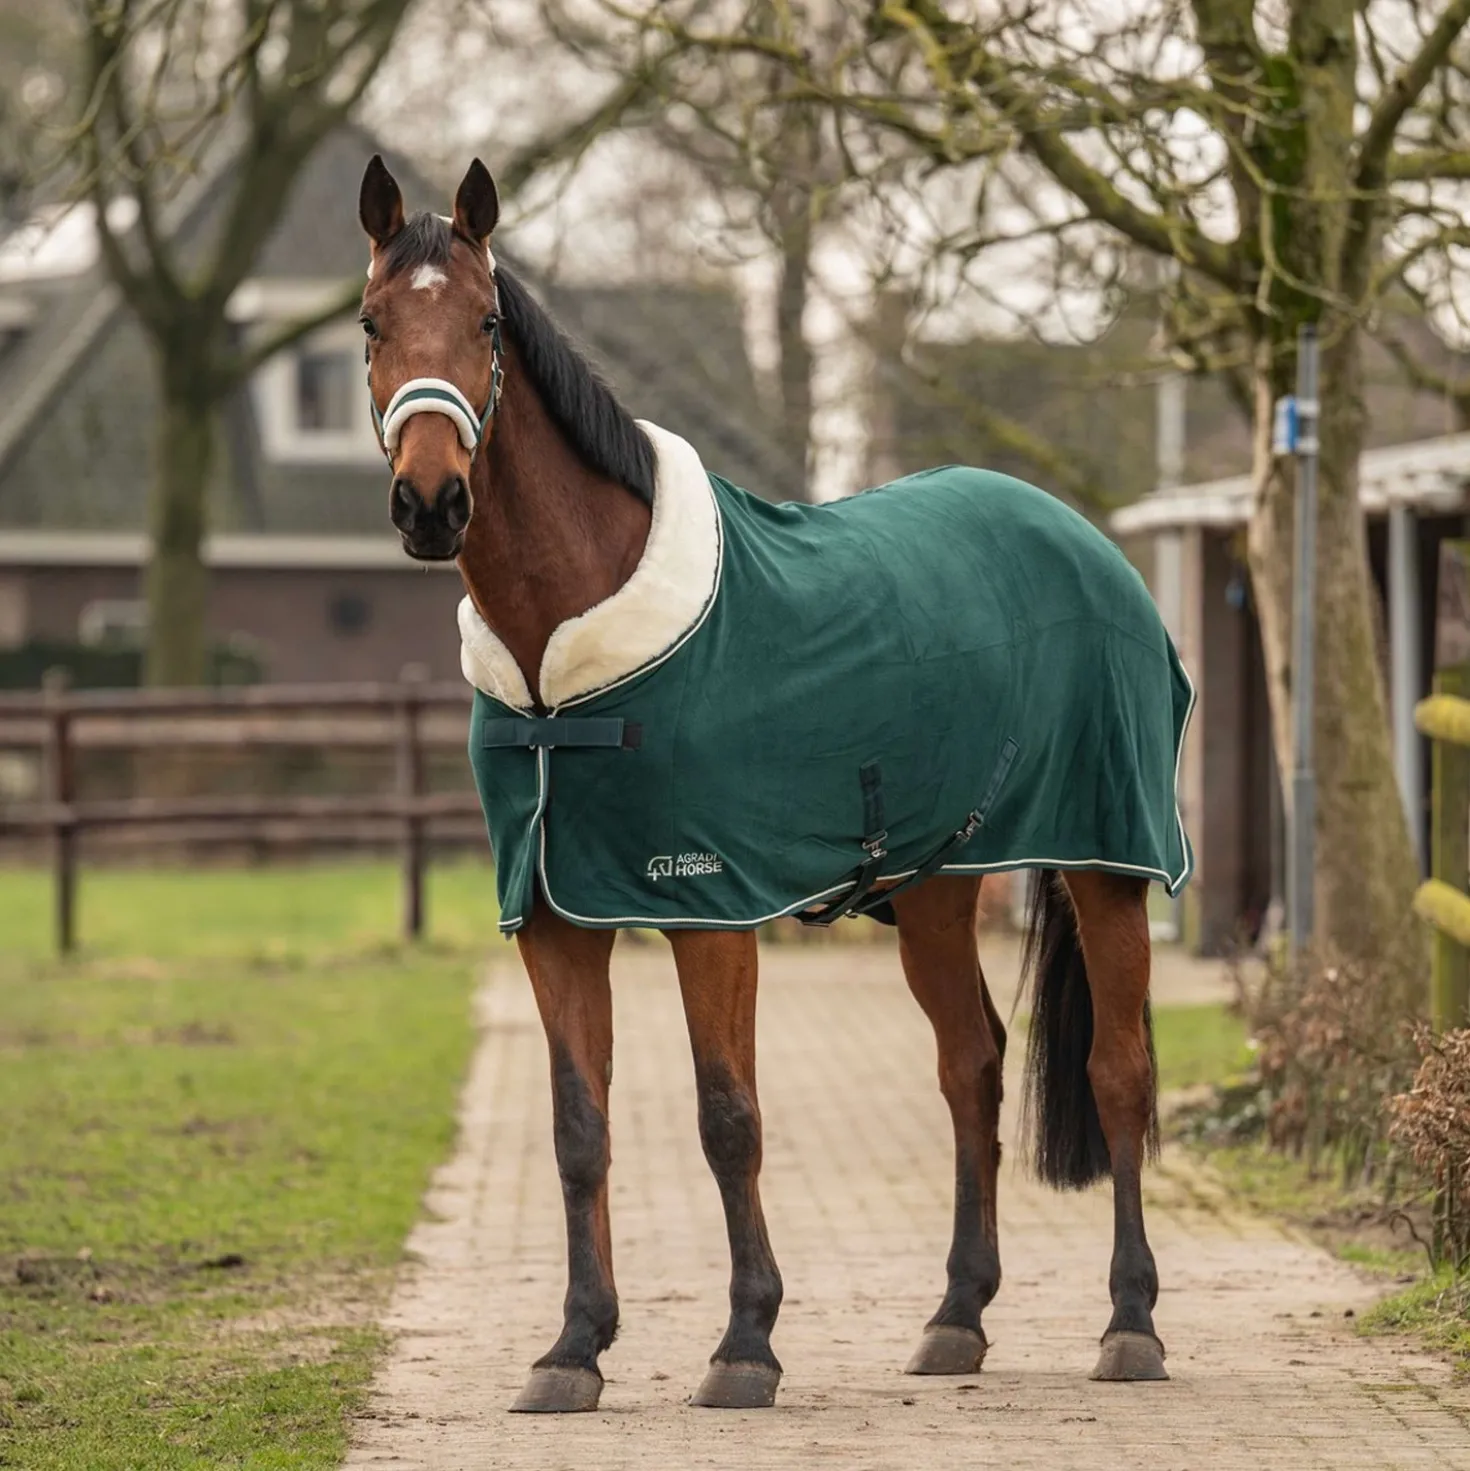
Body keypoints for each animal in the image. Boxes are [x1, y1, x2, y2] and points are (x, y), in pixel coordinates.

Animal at [357, 153, 1193, 1413]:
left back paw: (1131, 1322)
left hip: (1106, 862)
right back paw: (956, 1317)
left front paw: (745, 1340)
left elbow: (728, 1117)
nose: (429, 502)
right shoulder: (553, 917)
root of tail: (1086, 541)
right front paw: (573, 1346)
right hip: (938, 886)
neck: (567, 662)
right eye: (370, 324)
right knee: (972, 1067)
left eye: (487, 323)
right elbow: (578, 1127)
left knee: (1120, 1074)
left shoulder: (707, 907)